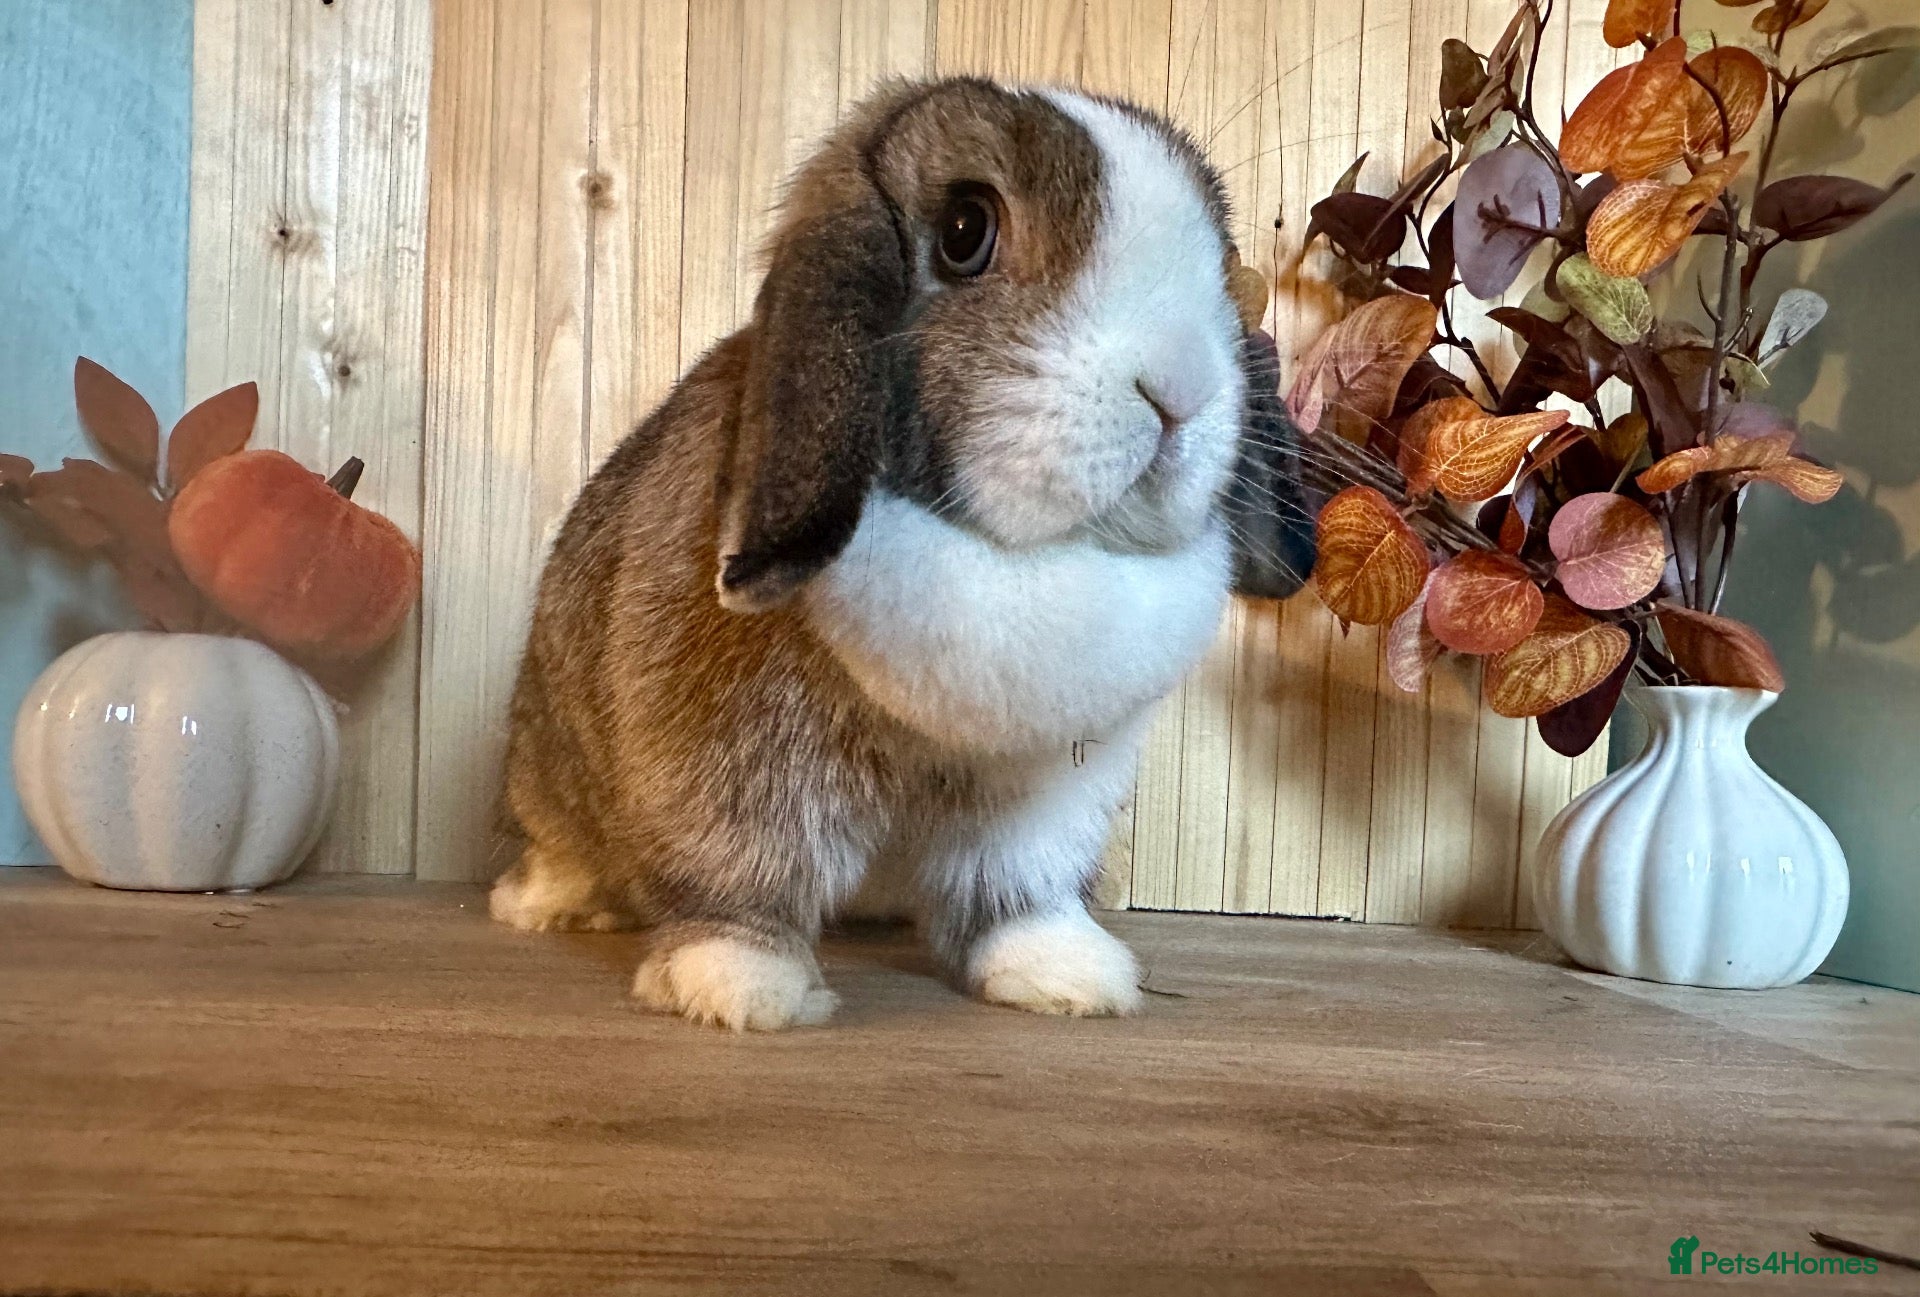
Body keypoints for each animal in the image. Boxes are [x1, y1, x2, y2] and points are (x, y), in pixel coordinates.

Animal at [488, 77, 1316, 1031]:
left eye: (1222, 259)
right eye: (964, 231)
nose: (1179, 388)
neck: (1005, 549)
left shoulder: (1041, 793)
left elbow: (1021, 888)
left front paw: (1067, 974)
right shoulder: (725, 751)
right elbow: (738, 865)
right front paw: (742, 985)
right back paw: (546, 903)